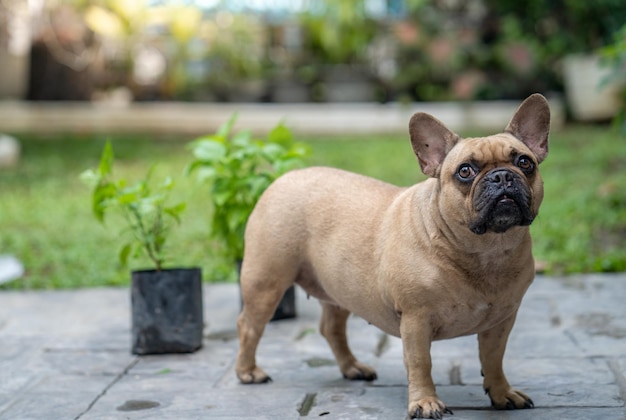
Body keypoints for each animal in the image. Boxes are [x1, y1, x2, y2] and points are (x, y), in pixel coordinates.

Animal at [236, 93, 548, 418]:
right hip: (266, 282)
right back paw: (248, 372)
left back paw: (352, 368)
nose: (502, 176)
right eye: (465, 171)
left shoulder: (501, 321)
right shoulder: (416, 319)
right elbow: (421, 363)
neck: (485, 249)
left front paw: (501, 393)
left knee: (332, 328)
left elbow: (494, 359)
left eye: (525, 162)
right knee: (249, 326)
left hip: (339, 288)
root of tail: (284, 178)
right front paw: (425, 402)